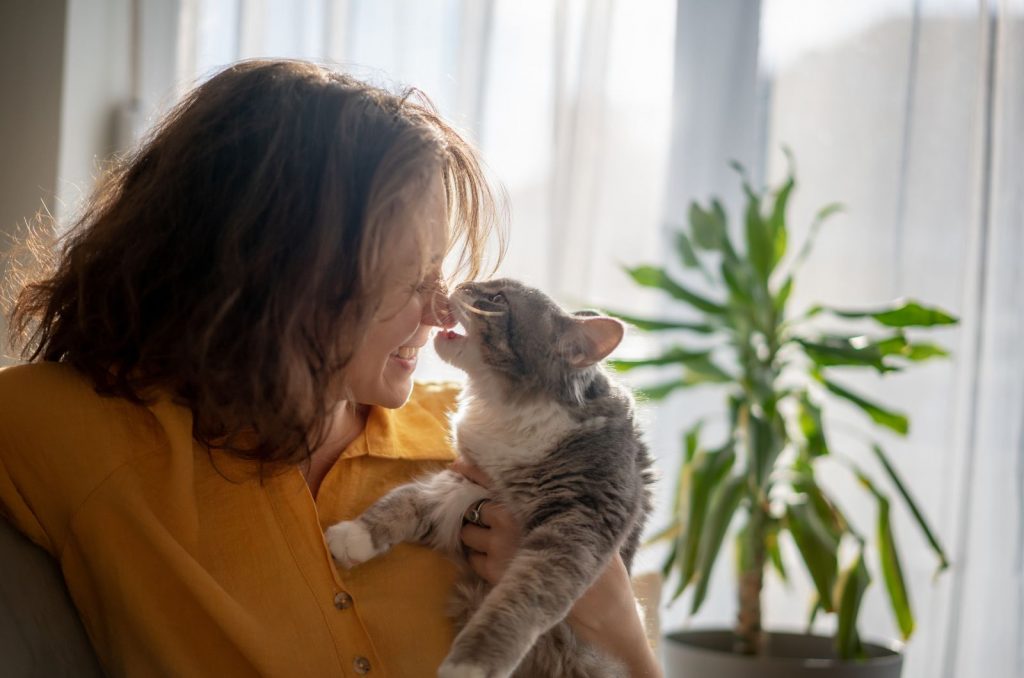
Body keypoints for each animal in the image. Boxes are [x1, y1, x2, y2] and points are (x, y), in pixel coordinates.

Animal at [323, 280, 651, 678]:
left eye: (497, 300)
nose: (459, 285)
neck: (508, 409)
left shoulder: (577, 521)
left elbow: (517, 603)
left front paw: (470, 664)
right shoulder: (462, 484)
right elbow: (402, 500)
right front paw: (352, 537)